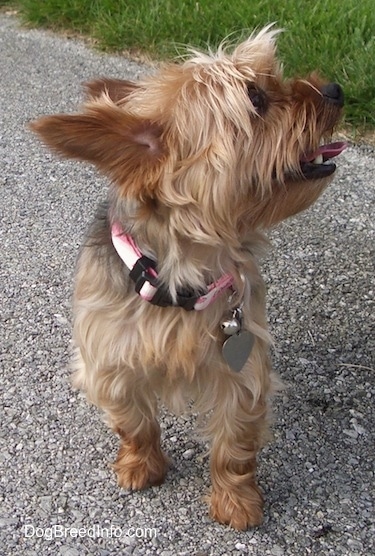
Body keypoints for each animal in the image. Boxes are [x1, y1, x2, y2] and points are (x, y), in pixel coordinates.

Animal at [31, 27, 346, 528]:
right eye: (255, 98)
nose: (334, 89)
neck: (180, 276)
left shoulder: (243, 366)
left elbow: (235, 444)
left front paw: (236, 501)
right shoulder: (108, 358)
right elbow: (133, 421)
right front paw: (141, 466)